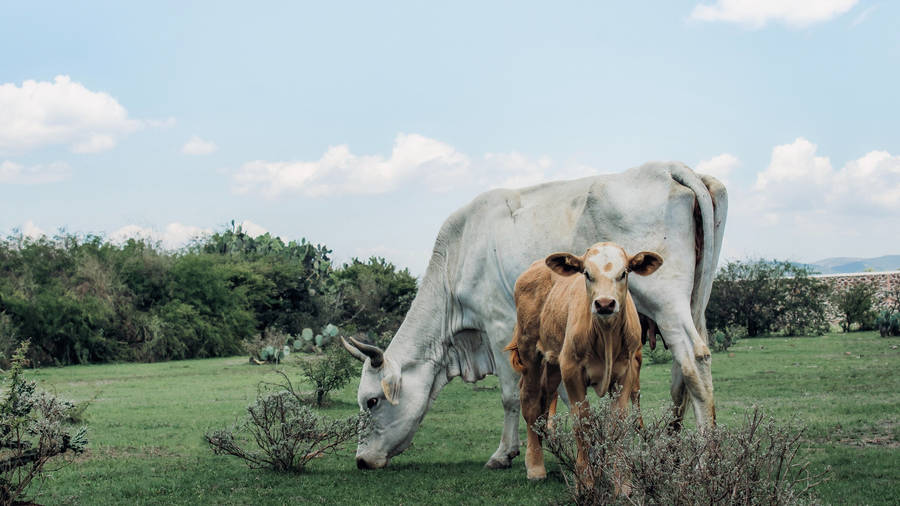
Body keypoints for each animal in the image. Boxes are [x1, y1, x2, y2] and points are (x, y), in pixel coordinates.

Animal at [505, 243, 662, 480]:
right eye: (587, 274)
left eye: (624, 273)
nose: (605, 304)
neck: (605, 336)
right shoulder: (572, 371)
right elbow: (583, 423)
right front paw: (585, 479)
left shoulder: (626, 373)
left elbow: (617, 424)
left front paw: (621, 481)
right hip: (529, 351)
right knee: (530, 401)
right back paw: (535, 465)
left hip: (554, 363)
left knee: (545, 397)